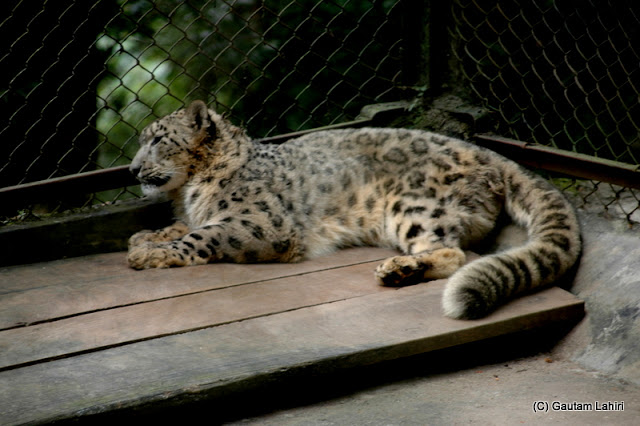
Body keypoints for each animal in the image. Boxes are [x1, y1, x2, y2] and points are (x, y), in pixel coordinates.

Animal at [127, 100, 582, 319]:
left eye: (157, 139)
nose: (132, 169)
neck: (189, 192)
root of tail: (490, 153)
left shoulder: (262, 222)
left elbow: (204, 234)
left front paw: (151, 254)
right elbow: (183, 226)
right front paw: (145, 238)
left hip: (412, 207)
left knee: (451, 251)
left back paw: (399, 268)